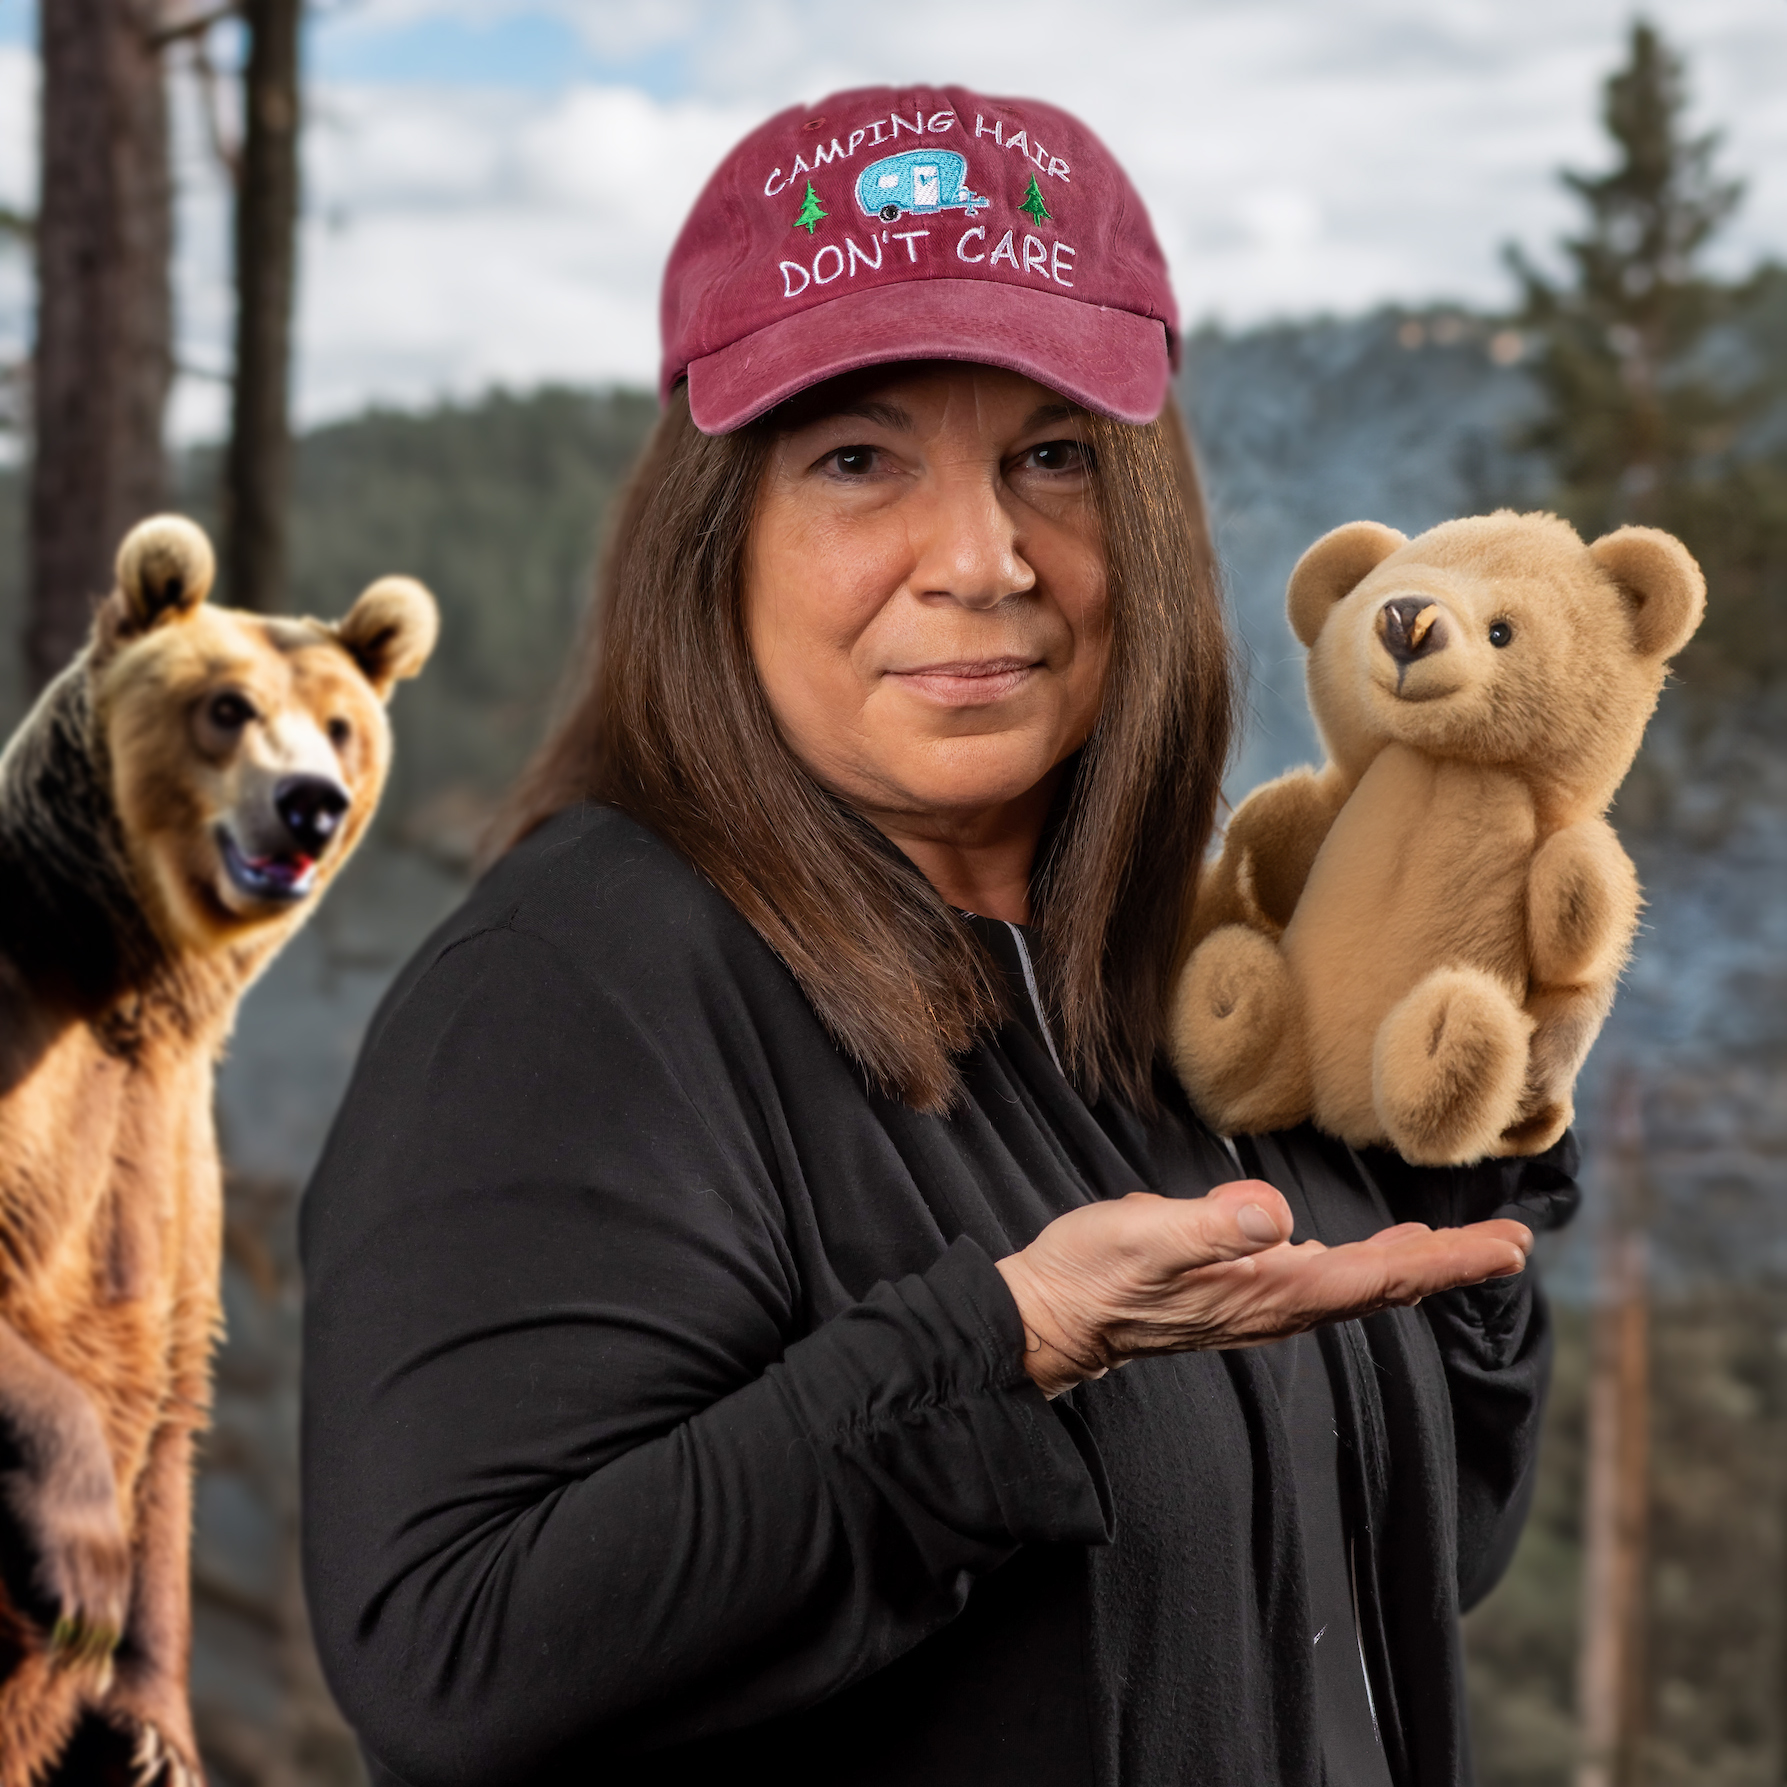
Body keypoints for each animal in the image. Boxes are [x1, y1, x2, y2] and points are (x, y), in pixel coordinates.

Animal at [0, 511, 436, 1779]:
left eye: (340, 722)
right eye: (227, 705)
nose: (311, 803)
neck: (130, 972)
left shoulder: (175, 1134)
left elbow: (173, 1408)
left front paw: (145, 1728)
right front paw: (83, 1568)